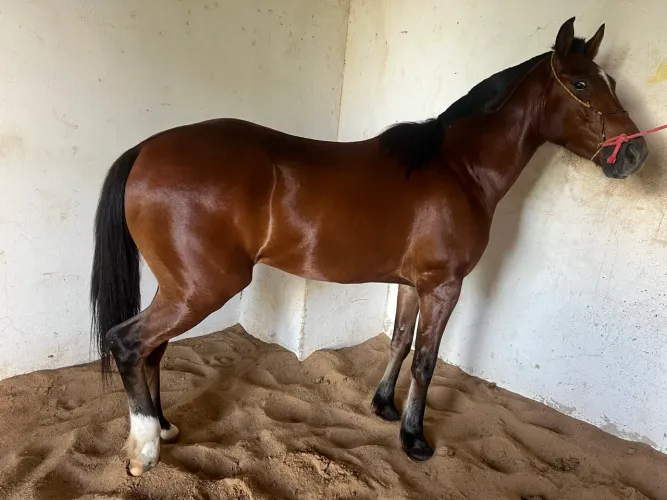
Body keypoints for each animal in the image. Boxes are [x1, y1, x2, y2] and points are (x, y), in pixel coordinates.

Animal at [90, 17, 649, 476]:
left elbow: (400, 341)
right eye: (581, 84)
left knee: (153, 350)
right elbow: (426, 359)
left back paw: (163, 427)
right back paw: (143, 450)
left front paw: (383, 407)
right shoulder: (444, 286)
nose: (636, 153)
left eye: (612, 82)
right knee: (129, 343)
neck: (459, 169)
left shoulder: (411, 284)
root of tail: (147, 149)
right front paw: (414, 438)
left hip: (178, 288)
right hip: (201, 289)